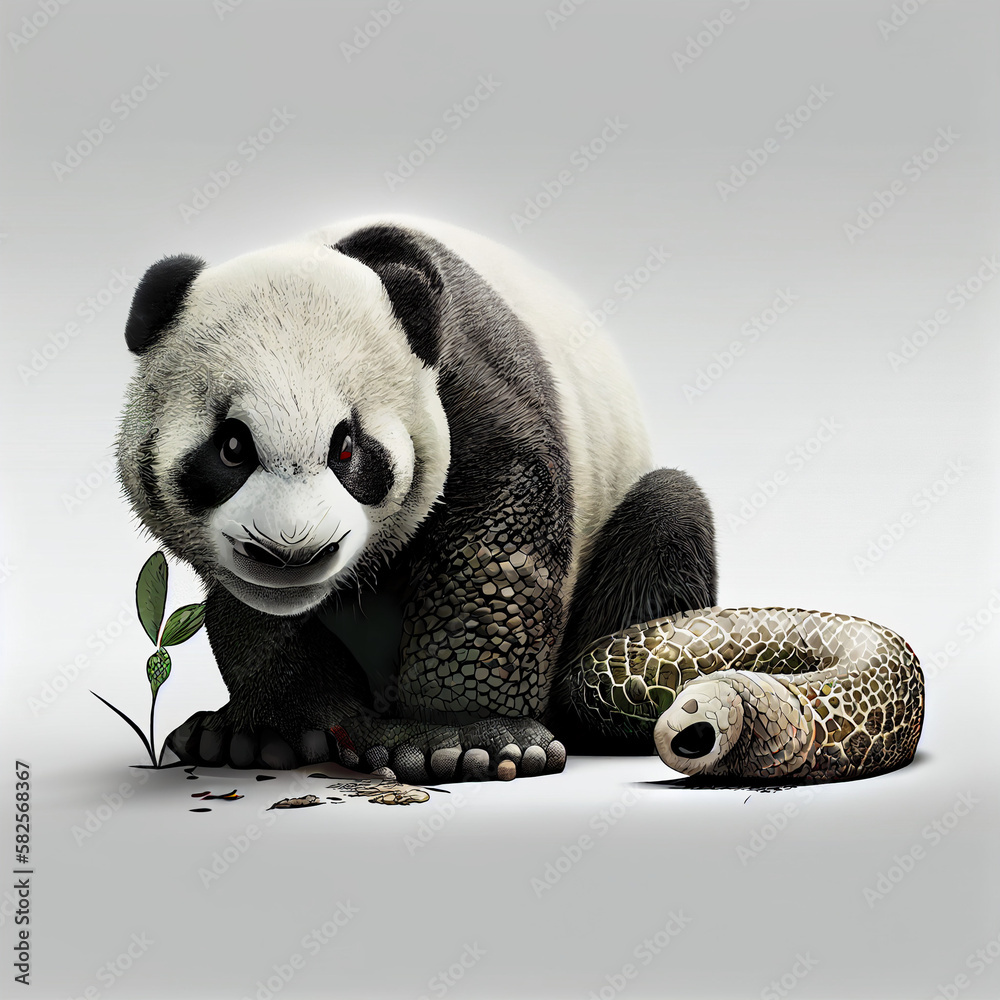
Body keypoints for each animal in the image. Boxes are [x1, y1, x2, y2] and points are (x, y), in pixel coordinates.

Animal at [117, 216, 716, 781]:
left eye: (347, 447)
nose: (291, 554)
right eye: (232, 447)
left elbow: (500, 526)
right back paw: (225, 736)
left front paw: (471, 740)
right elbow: (248, 613)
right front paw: (274, 731)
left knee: (667, 516)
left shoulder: (461, 380)